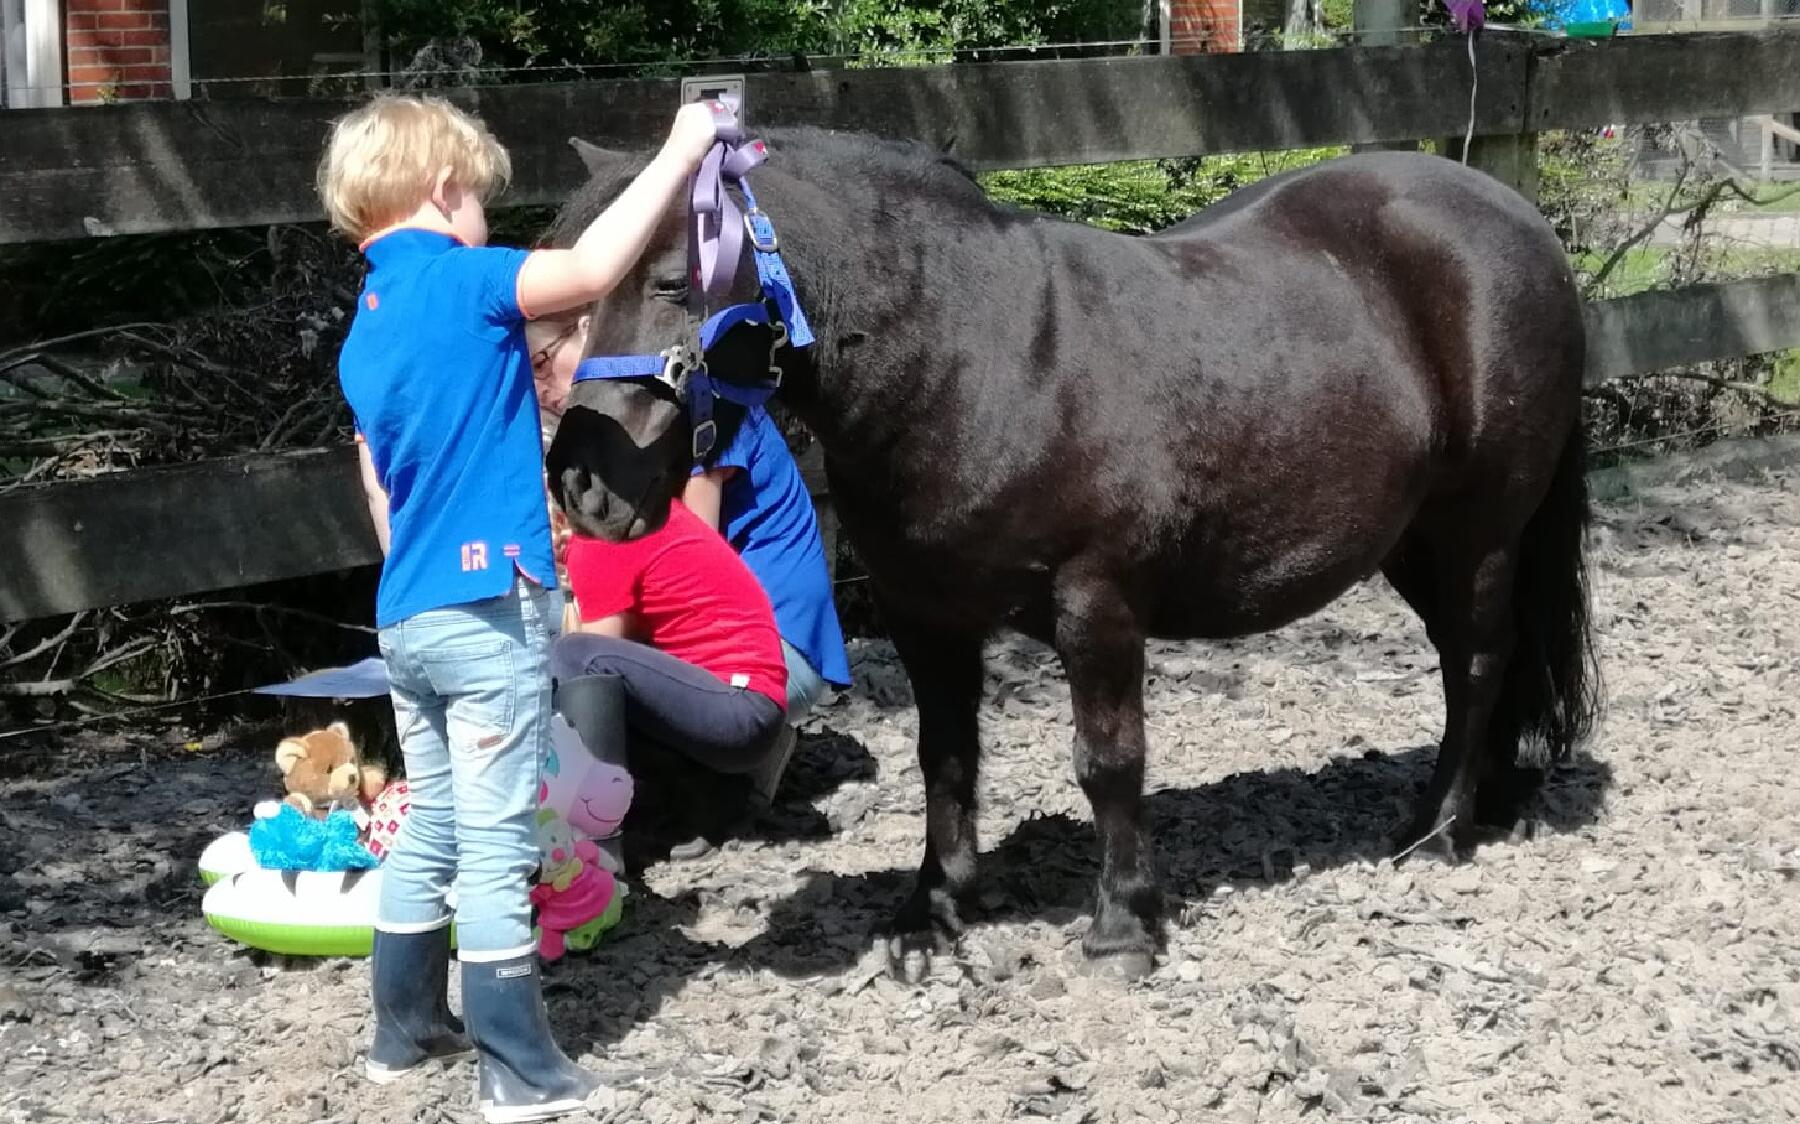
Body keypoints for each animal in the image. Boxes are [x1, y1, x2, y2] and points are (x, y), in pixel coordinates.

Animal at [543, 127, 1600, 979]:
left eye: (674, 279)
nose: (583, 484)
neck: (978, 360)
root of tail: (1518, 219)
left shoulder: (1099, 604)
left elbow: (1108, 761)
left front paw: (1122, 927)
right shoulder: (927, 617)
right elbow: (946, 759)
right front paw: (933, 913)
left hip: (1477, 532)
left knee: (1477, 661)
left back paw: (1437, 829)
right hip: (1412, 541)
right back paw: (1485, 801)